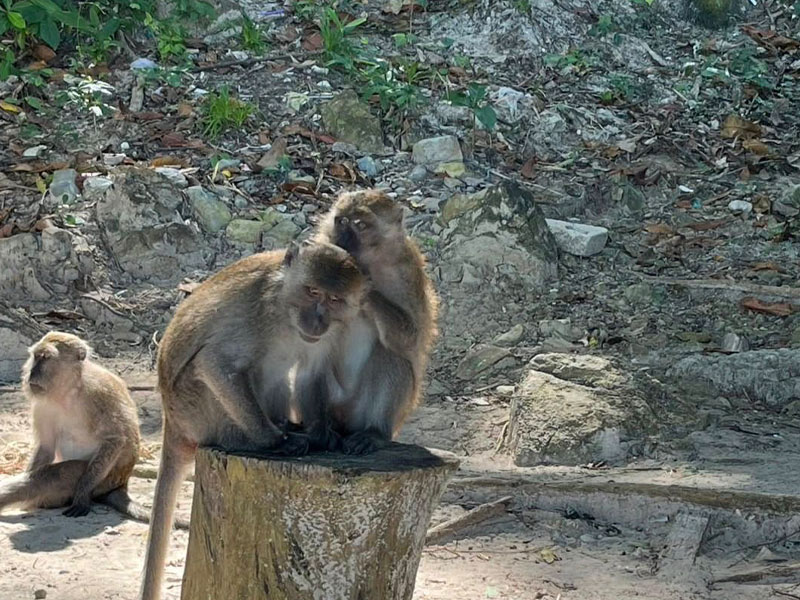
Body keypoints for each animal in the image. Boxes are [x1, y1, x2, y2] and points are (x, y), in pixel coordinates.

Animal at [0, 331, 185, 528]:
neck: (68, 391)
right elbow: (46, 446)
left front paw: (82, 493)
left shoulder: (99, 394)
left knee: (50, 476)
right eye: (36, 357)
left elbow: (115, 439)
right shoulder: (43, 406)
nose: (32, 373)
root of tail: (122, 483)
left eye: (45, 358)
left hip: (105, 480)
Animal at [139, 240, 367, 600]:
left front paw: (320, 433)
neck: (286, 308)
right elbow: (215, 362)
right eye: (312, 291)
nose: (317, 320)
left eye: (334, 299)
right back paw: (245, 439)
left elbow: (310, 370)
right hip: (193, 410)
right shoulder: (259, 313)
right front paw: (273, 440)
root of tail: (171, 421)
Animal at [300, 189, 439, 455]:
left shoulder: (406, 272)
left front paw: (364, 287)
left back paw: (373, 433)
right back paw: (318, 430)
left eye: (360, 225)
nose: (343, 239)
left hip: (367, 414)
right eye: (342, 221)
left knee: (391, 357)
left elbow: (411, 339)